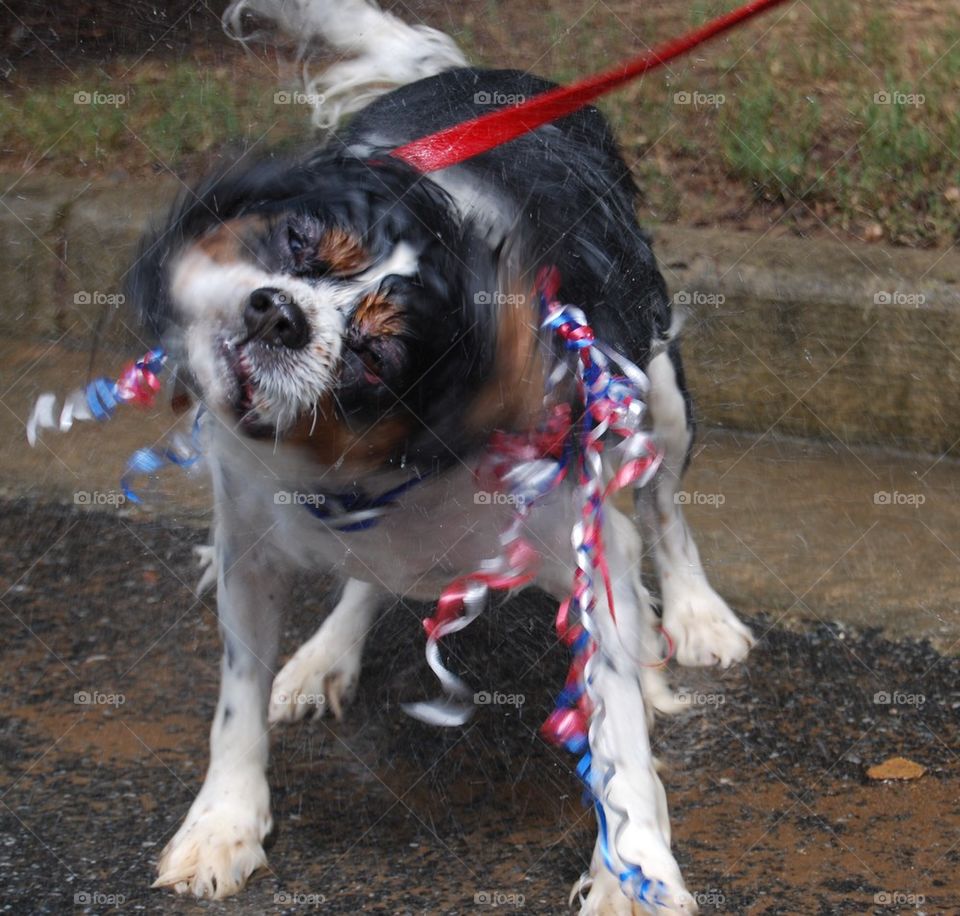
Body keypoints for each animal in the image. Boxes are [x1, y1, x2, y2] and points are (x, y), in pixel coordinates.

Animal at [131, 3, 752, 912]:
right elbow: (234, 704)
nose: (276, 311)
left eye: (377, 353)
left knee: (667, 513)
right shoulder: (250, 541)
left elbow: (619, 736)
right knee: (368, 578)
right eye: (298, 239)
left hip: (661, 397)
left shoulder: (588, 544)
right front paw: (223, 824)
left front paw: (637, 873)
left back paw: (698, 615)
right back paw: (322, 656)